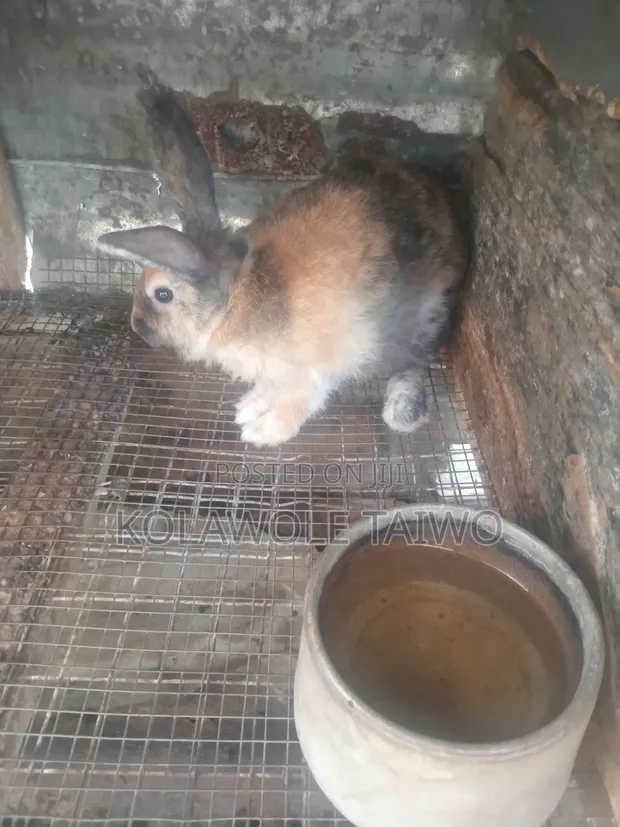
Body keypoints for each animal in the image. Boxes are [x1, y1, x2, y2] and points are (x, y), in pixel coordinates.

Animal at [97, 96, 468, 447]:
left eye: (163, 295)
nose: (137, 327)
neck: (236, 298)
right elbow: (269, 390)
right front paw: (249, 406)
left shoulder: (307, 373)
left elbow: (296, 406)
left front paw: (261, 432)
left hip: (424, 318)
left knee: (415, 362)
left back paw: (402, 410)